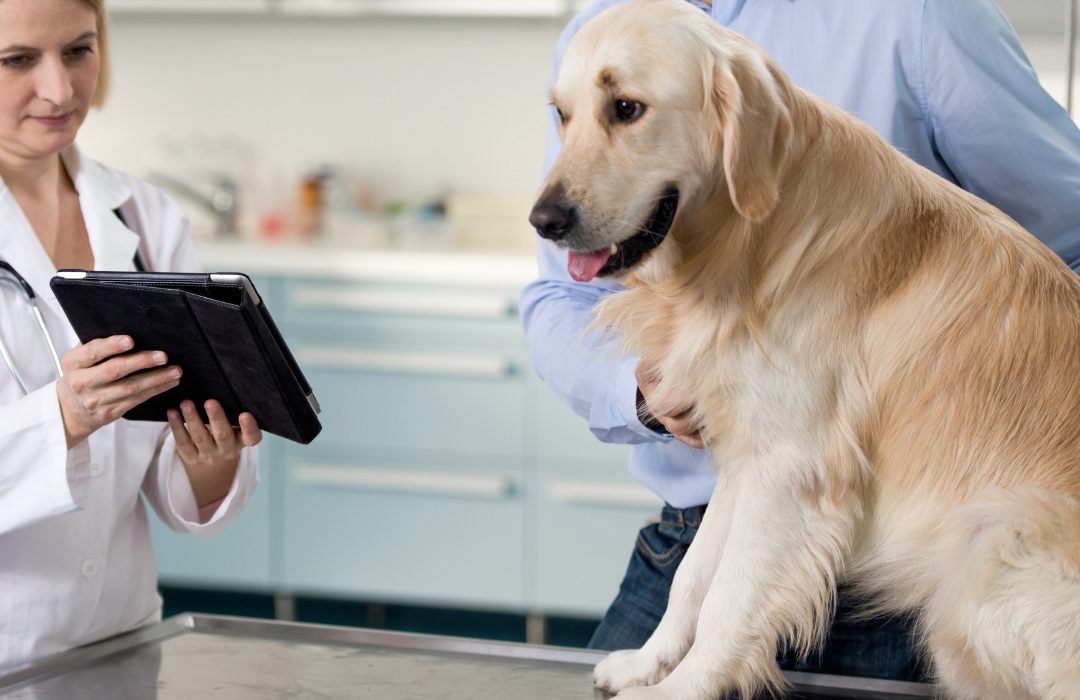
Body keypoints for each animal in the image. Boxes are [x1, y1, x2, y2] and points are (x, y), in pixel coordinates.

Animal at [529, 1, 1080, 700]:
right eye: (562, 114)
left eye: (626, 107)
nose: (543, 221)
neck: (750, 242)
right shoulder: (746, 460)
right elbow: (693, 579)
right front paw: (647, 661)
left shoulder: (791, 470)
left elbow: (730, 602)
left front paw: (683, 688)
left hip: (993, 541)